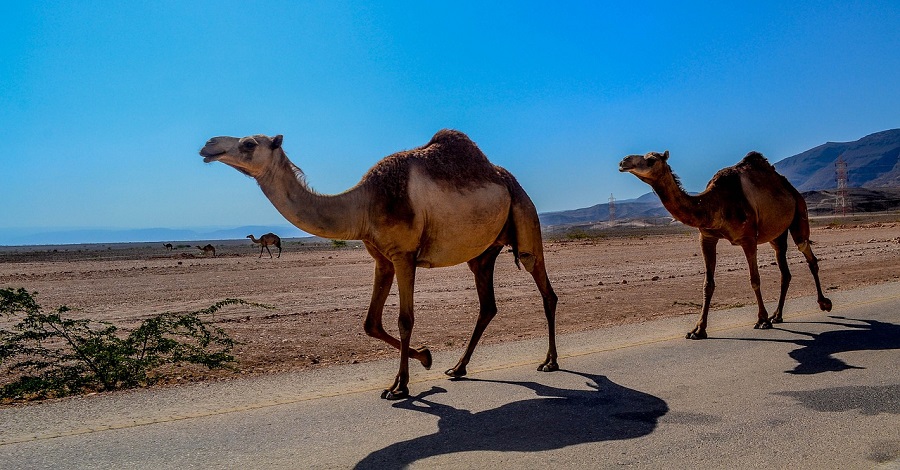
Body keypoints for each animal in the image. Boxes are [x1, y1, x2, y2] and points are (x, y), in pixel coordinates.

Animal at [200, 129, 560, 400]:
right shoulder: (382, 259)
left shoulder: (404, 255)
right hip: (483, 254)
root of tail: (508, 179)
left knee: (545, 288)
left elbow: (405, 320)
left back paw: (550, 362)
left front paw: (400, 386)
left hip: (524, 214)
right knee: (487, 305)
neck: (364, 204)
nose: (208, 144)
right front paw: (425, 358)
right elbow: (370, 323)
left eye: (249, 143)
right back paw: (458, 368)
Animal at [616, 151, 832, 338]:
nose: (623, 161)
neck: (714, 204)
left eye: (651, 160)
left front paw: (762, 320)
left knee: (807, 253)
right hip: (776, 235)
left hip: (799, 213)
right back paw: (777, 315)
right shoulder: (706, 237)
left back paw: (824, 303)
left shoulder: (748, 238)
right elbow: (707, 284)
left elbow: (754, 279)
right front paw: (698, 330)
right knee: (784, 271)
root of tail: (791, 189)